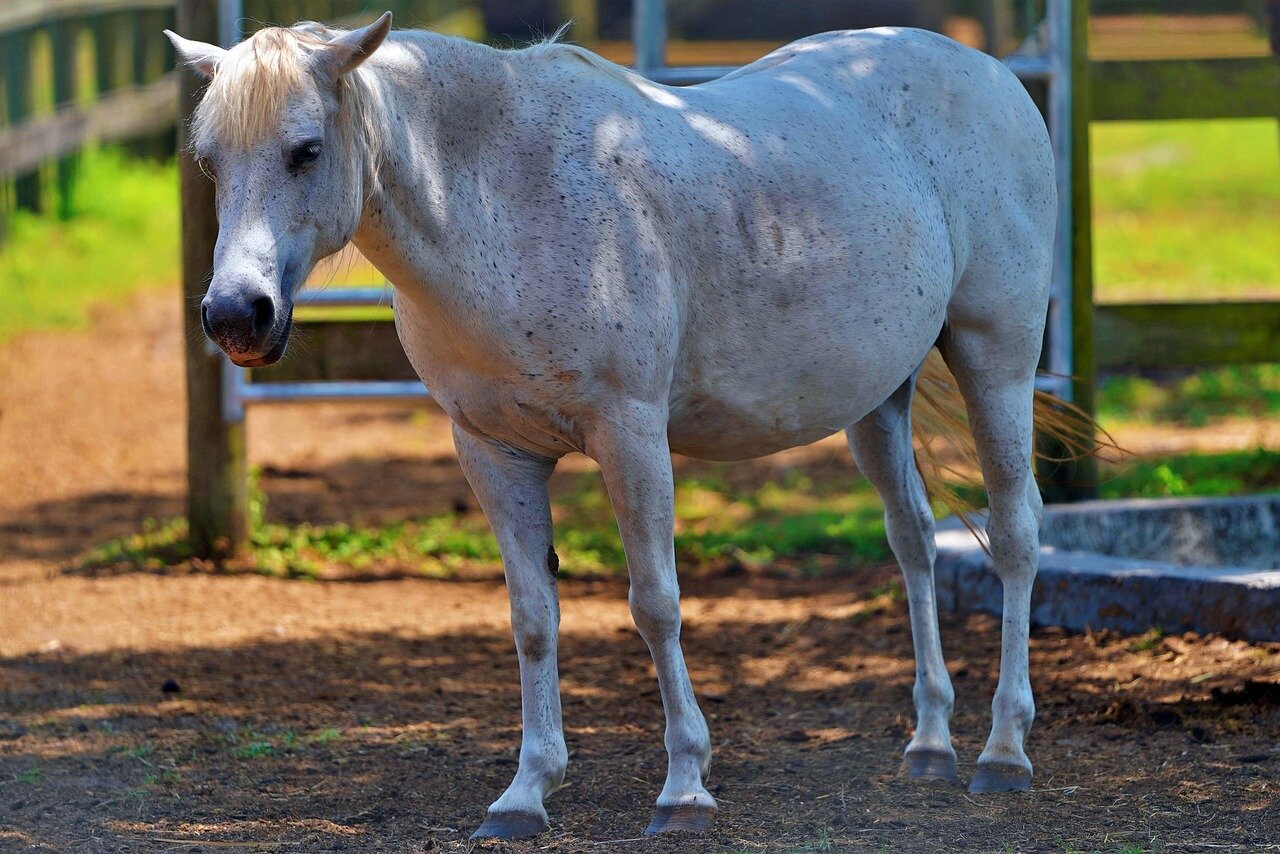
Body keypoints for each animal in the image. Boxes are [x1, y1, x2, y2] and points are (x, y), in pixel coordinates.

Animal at [166, 12, 1056, 839]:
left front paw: (685, 787)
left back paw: (1003, 752)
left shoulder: (630, 437)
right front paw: (525, 793)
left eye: (306, 150)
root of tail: (989, 73)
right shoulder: (492, 452)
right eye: (209, 161)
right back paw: (931, 744)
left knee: (1015, 532)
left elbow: (655, 602)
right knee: (913, 537)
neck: (499, 197)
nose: (236, 315)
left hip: (996, 360)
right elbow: (532, 617)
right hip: (879, 399)